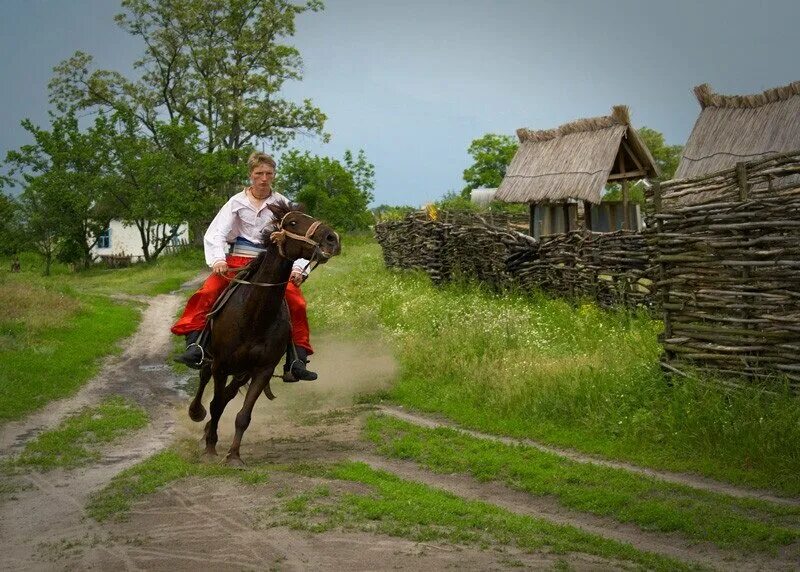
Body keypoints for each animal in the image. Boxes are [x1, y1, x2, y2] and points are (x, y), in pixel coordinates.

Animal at [189, 201, 340, 464]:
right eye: (292, 222)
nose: (332, 239)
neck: (253, 315)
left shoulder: (262, 370)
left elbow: (242, 415)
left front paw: (234, 456)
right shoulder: (221, 365)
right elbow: (216, 405)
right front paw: (210, 448)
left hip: (243, 371)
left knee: (228, 395)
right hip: (212, 361)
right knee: (205, 380)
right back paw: (197, 414)